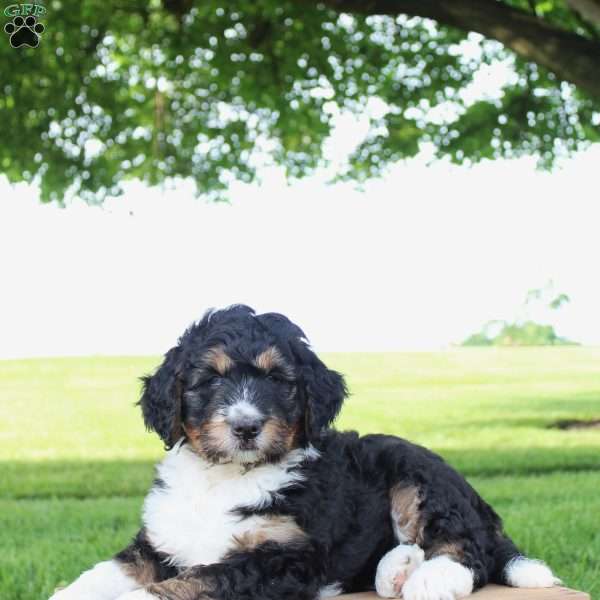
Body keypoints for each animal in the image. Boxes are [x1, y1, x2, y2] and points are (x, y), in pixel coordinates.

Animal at [49, 304, 560, 600]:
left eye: (278, 380)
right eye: (210, 379)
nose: (246, 427)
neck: (226, 477)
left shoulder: (283, 558)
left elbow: (193, 582)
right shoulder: (160, 541)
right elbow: (109, 570)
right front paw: (69, 593)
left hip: (418, 475)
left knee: (469, 550)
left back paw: (428, 579)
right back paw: (395, 570)